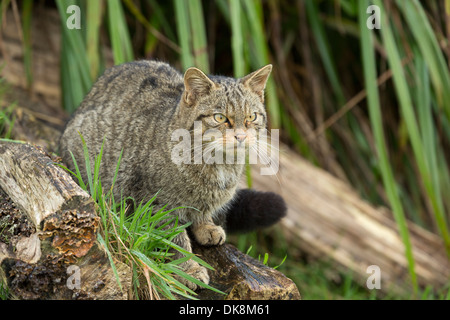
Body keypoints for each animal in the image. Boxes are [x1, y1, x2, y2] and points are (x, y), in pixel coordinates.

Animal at [59, 60, 284, 290]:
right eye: (220, 117)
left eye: (251, 117)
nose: (241, 136)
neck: (220, 165)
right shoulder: (158, 205)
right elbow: (177, 242)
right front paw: (190, 270)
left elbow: (201, 211)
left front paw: (206, 226)